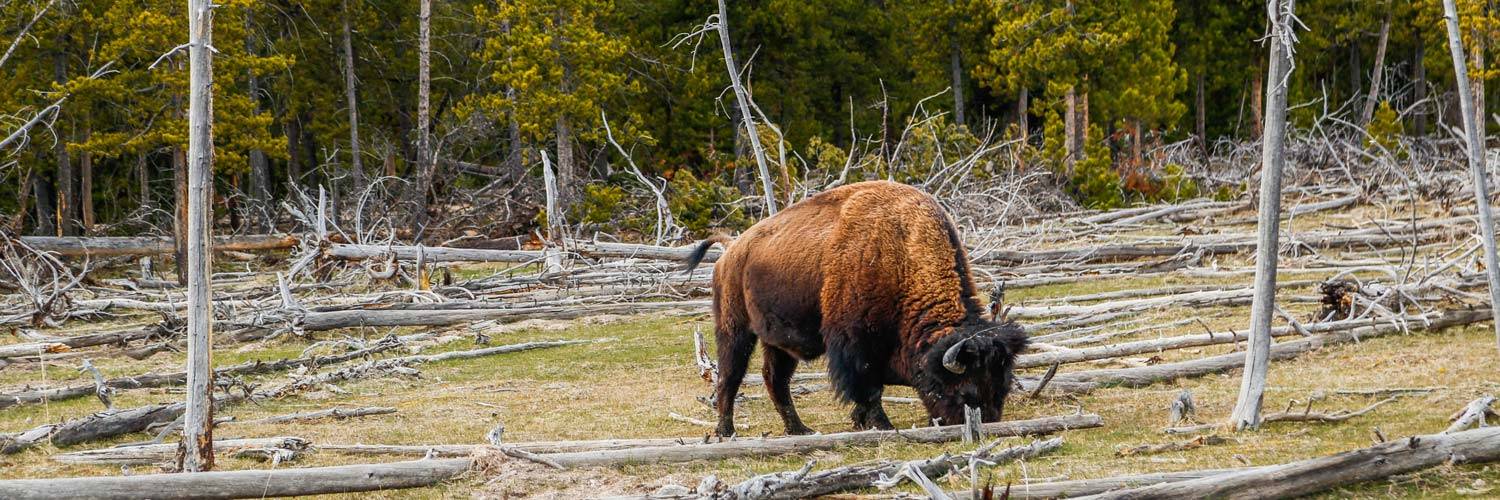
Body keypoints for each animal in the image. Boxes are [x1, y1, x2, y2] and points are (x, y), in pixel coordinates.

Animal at [684, 180, 1026, 435]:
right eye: (967, 393)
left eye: (1003, 386)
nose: (986, 423)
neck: (902, 255)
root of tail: (732, 250)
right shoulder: (855, 343)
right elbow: (868, 386)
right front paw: (880, 425)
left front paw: (862, 422)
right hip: (734, 329)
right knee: (730, 377)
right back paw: (726, 431)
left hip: (777, 342)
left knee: (775, 379)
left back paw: (799, 429)